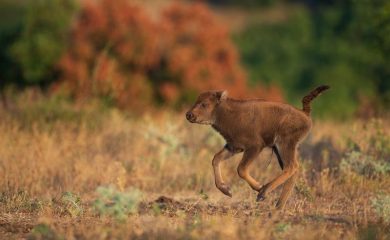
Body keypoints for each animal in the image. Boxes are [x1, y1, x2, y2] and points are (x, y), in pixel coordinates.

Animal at [186, 85, 330, 209]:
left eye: (204, 103)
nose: (189, 115)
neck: (228, 113)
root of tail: (304, 113)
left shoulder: (254, 147)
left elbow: (241, 169)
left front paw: (258, 187)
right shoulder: (234, 147)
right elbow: (216, 159)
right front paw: (227, 191)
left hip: (285, 144)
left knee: (292, 167)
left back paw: (263, 193)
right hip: (279, 149)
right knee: (292, 170)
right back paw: (278, 206)